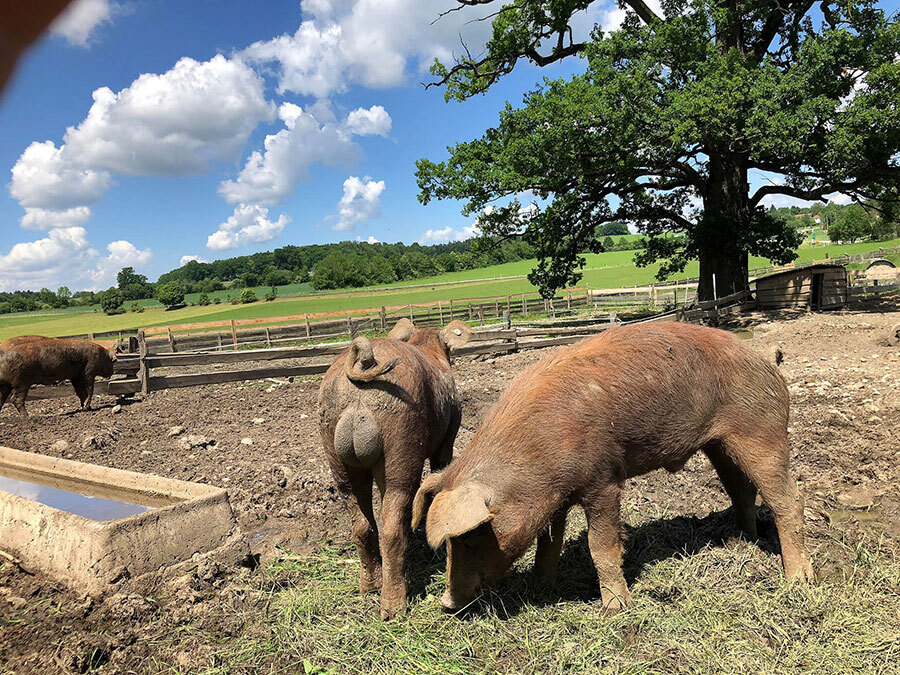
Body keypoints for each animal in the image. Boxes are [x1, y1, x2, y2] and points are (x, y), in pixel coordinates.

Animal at [316, 320, 472, 620]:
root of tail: (364, 364)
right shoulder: (448, 438)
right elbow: (440, 468)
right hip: (401, 444)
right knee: (391, 527)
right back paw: (393, 610)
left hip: (336, 453)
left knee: (362, 524)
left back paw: (369, 588)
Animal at [416, 324, 816, 616]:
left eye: (469, 536)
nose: (446, 604)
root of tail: (765, 355)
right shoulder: (557, 497)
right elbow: (549, 542)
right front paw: (541, 585)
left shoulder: (603, 481)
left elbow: (602, 546)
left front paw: (615, 610)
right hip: (720, 444)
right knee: (741, 490)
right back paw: (741, 542)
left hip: (762, 431)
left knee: (788, 501)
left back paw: (797, 581)